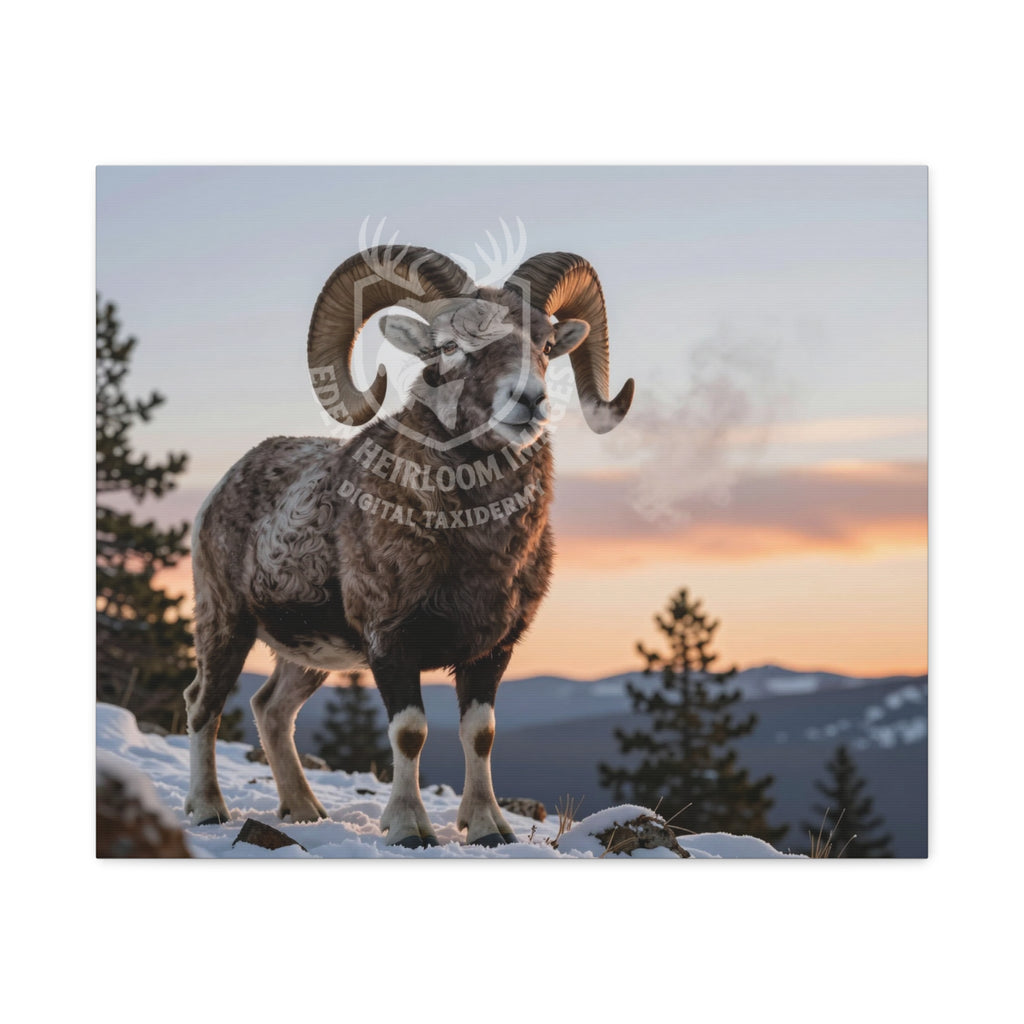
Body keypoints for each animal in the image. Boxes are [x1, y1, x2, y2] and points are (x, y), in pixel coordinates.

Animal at [183, 245, 635, 847]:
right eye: (449, 346)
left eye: (543, 346)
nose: (528, 401)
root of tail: (223, 486)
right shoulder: (390, 645)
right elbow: (410, 733)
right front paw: (408, 829)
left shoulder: (492, 652)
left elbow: (480, 733)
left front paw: (487, 828)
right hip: (225, 624)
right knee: (203, 706)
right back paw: (209, 809)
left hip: (309, 657)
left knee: (270, 709)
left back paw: (304, 811)